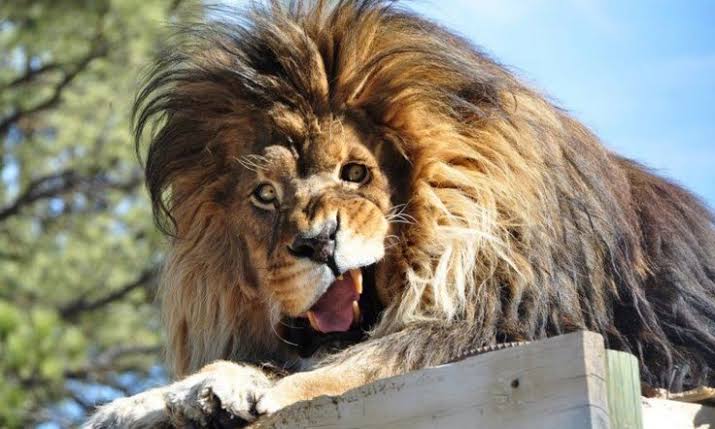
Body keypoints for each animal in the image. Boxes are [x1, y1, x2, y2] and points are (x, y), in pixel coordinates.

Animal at [86, 1, 715, 427]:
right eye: (264, 195)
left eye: (354, 172)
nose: (319, 243)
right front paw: (146, 403)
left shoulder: (505, 327)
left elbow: (353, 367)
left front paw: (251, 391)